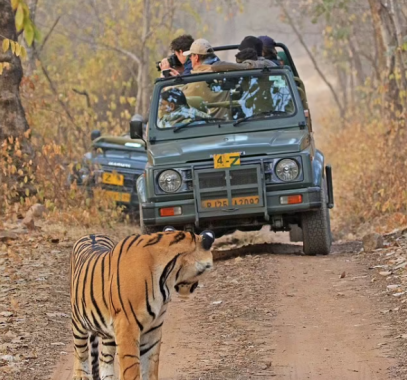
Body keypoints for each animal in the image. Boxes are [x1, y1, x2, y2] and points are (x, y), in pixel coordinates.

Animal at [69, 227, 217, 378]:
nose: (194, 286)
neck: (166, 277)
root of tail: (91, 234)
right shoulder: (127, 326)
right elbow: (131, 369)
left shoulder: (153, 328)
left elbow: (150, 367)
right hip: (78, 323)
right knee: (80, 353)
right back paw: (80, 375)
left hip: (108, 331)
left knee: (105, 358)